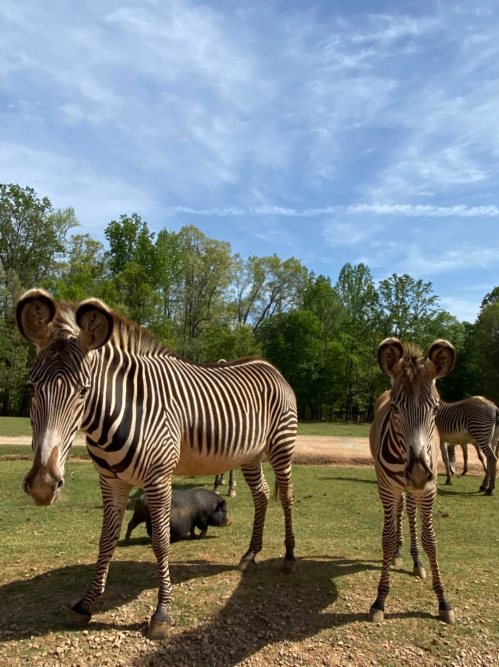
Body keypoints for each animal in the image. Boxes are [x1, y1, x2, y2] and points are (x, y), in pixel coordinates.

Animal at [16, 289, 297, 640]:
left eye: (83, 391)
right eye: (30, 388)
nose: (43, 486)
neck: (117, 413)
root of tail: (270, 366)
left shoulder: (159, 479)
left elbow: (161, 541)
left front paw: (162, 613)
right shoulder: (111, 481)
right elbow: (106, 539)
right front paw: (85, 603)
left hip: (281, 445)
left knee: (286, 497)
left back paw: (289, 557)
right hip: (250, 454)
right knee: (261, 495)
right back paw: (250, 554)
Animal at [368, 337, 456, 624]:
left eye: (436, 408)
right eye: (396, 408)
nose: (417, 471)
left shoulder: (428, 489)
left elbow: (430, 539)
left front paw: (443, 600)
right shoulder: (387, 487)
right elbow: (386, 537)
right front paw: (380, 600)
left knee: (409, 511)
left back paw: (416, 562)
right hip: (393, 484)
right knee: (399, 511)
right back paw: (398, 554)